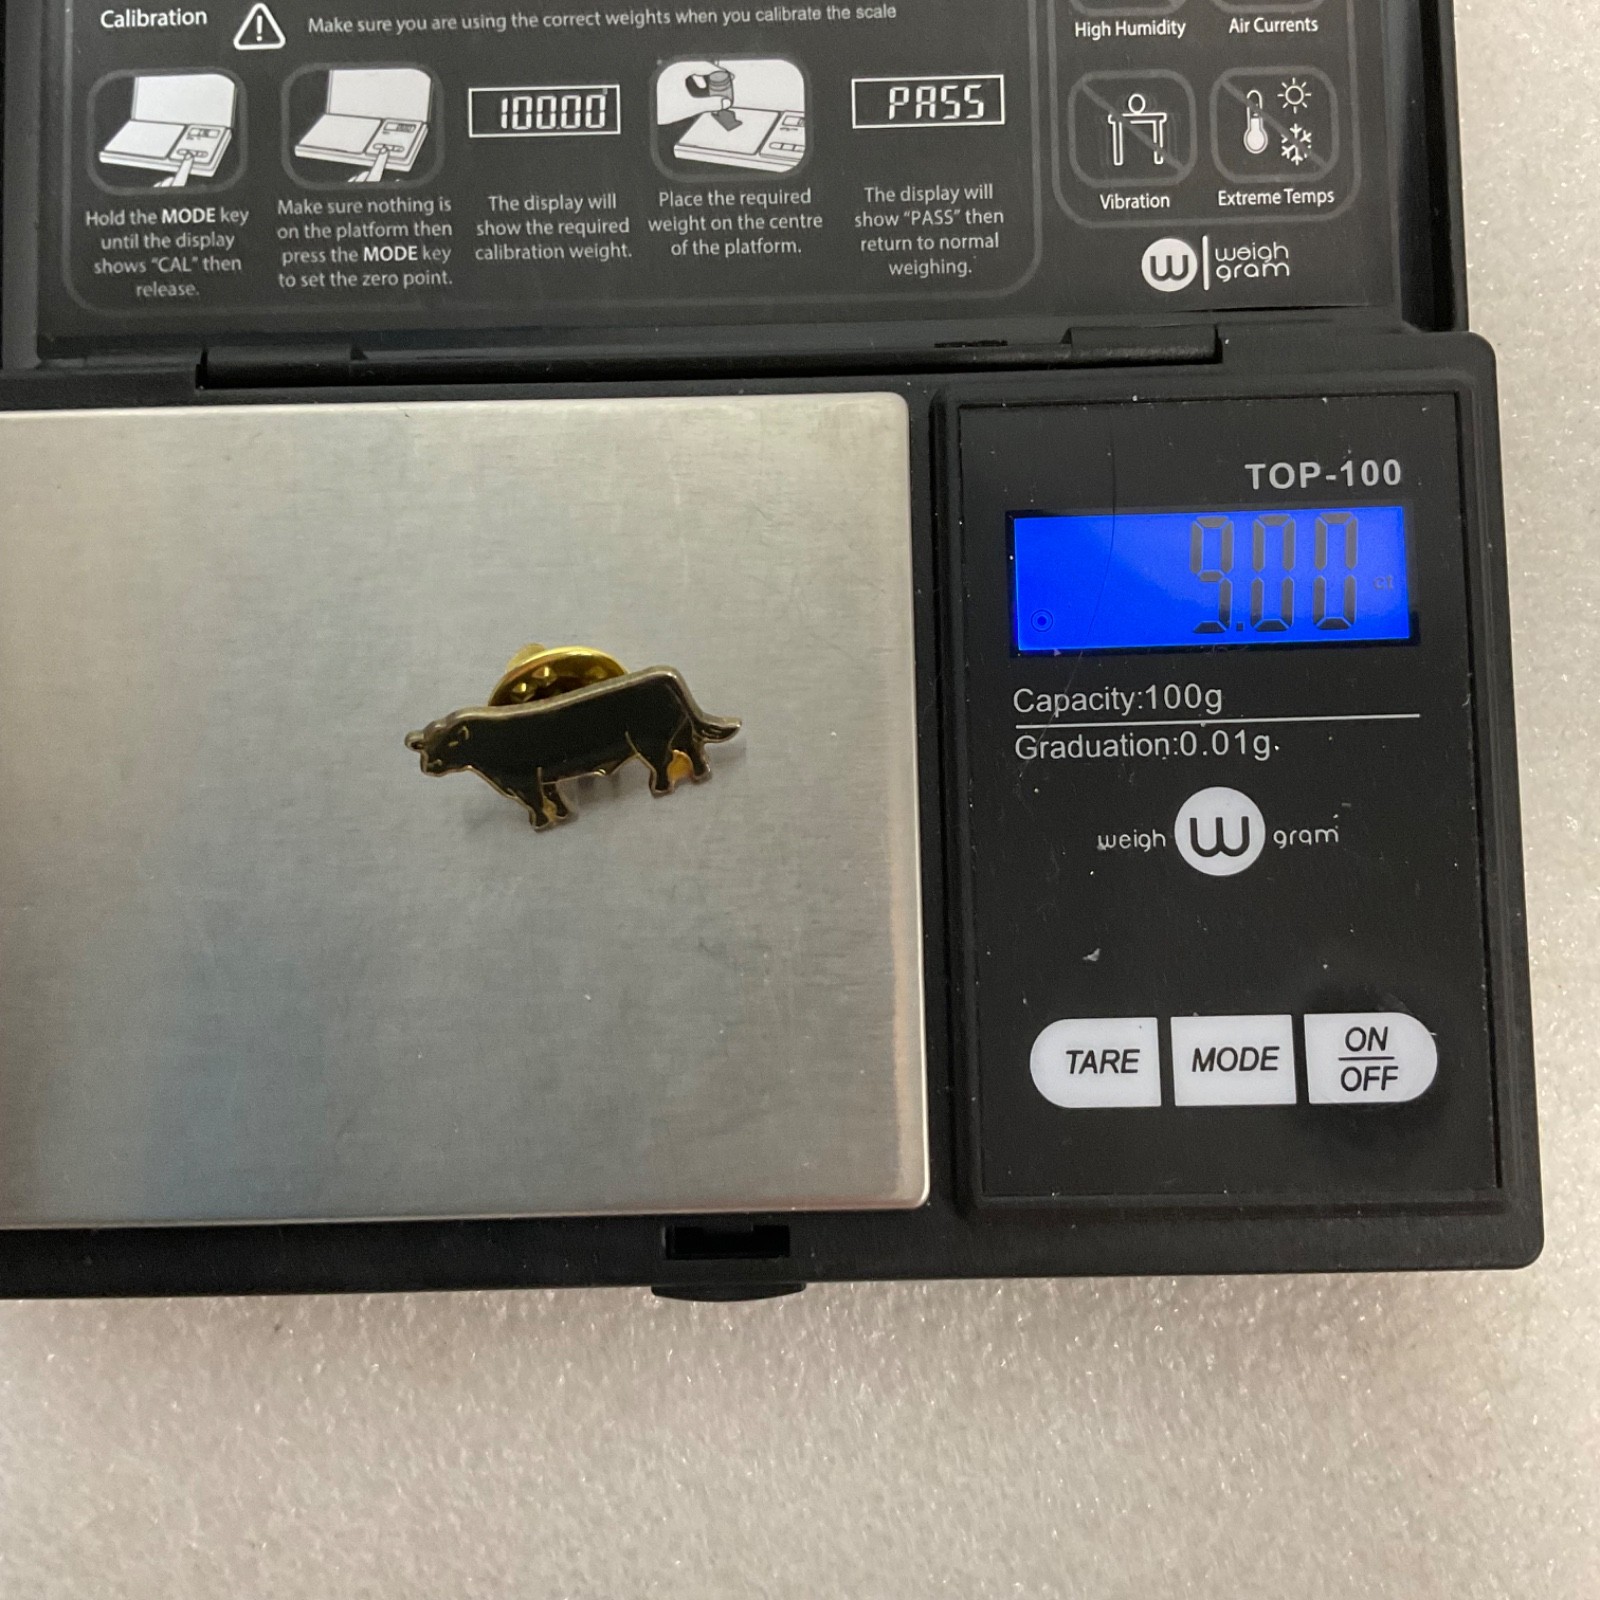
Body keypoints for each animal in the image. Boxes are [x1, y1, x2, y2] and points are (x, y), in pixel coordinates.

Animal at [404, 666, 741, 829]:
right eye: (426, 747)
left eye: (450, 742)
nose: (429, 766)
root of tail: (665, 677)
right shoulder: (546, 775)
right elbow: (553, 797)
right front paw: (563, 814)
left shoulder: (524, 779)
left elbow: (537, 803)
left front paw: (542, 824)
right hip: (680, 731)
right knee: (693, 749)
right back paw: (699, 775)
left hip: (649, 740)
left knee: (663, 760)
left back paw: (660, 788)